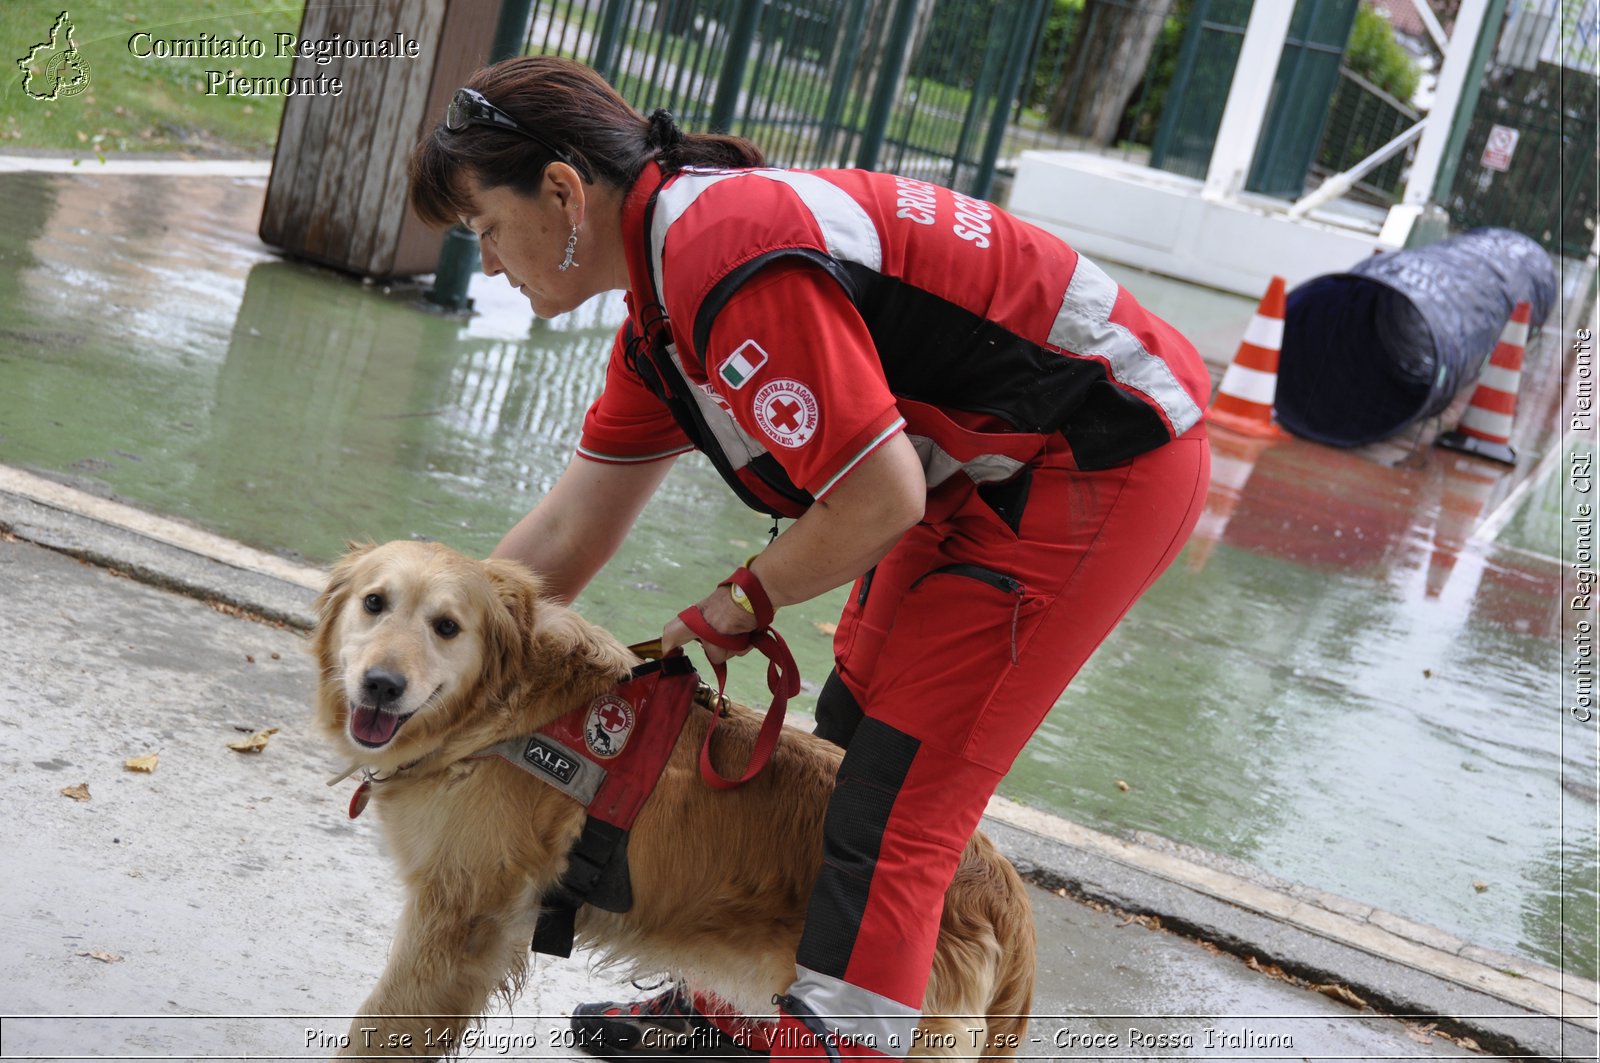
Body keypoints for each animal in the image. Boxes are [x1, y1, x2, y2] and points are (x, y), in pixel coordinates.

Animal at [315, 541, 1036, 1056]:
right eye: (374, 603)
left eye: (446, 626)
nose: (381, 684)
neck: (499, 711)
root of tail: (998, 882)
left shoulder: (457, 920)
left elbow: (378, 1026)